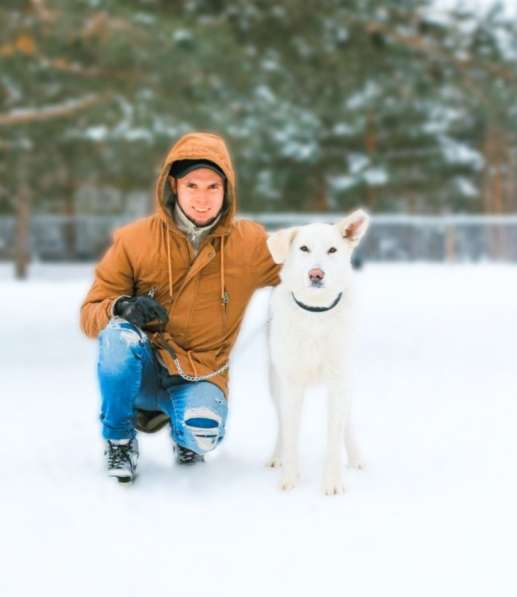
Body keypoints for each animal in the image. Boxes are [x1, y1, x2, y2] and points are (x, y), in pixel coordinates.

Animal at [264, 208, 368, 494]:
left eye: (332, 249)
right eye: (304, 248)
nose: (316, 274)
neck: (316, 314)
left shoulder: (339, 381)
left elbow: (334, 437)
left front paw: (333, 484)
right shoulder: (291, 383)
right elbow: (290, 434)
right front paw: (290, 479)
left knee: (347, 423)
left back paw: (356, 458)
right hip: (275, 381)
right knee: (282, 425)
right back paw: (276, 456)